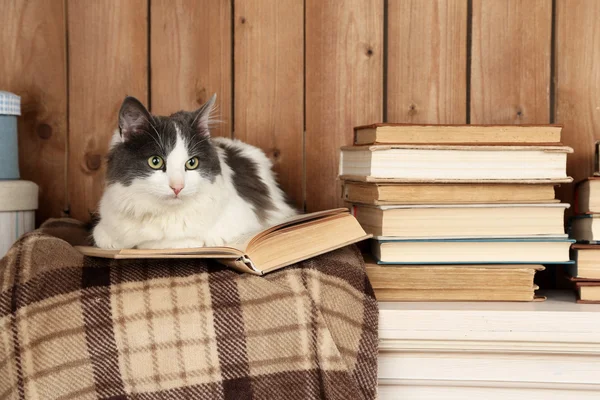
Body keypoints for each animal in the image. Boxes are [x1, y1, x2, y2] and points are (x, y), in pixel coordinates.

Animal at [92, 95, 298, 248]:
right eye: (155, 162)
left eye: (192, 163)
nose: (177, 187)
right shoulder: (104, 226)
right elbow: (105, 237)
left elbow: (170, 242)